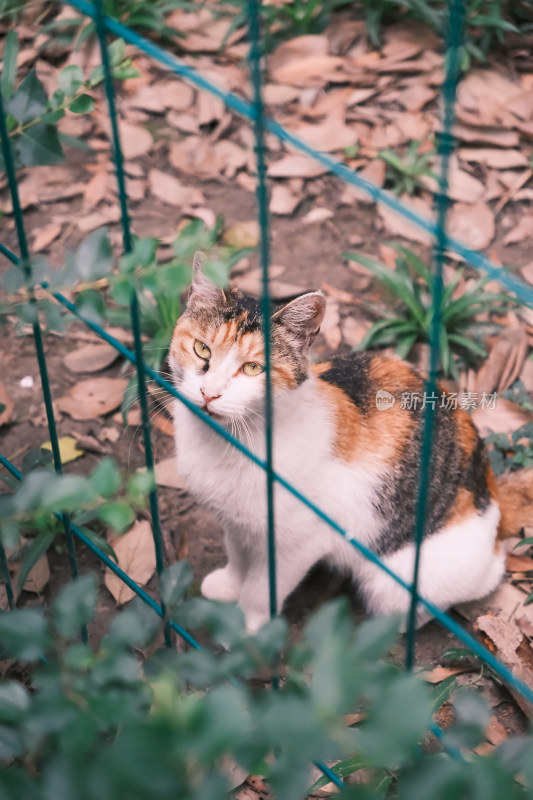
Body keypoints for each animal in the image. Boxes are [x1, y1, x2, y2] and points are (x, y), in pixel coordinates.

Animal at [169, 253, 532, 636]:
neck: (226, 442)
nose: (209, 393)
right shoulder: (235, 522)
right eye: (202, 349)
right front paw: (227, 586)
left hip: (395, 581)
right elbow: (239, 556)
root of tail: (492, 490)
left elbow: (261, 588)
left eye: (253, 368)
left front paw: (251, 632)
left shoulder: (298, 543)